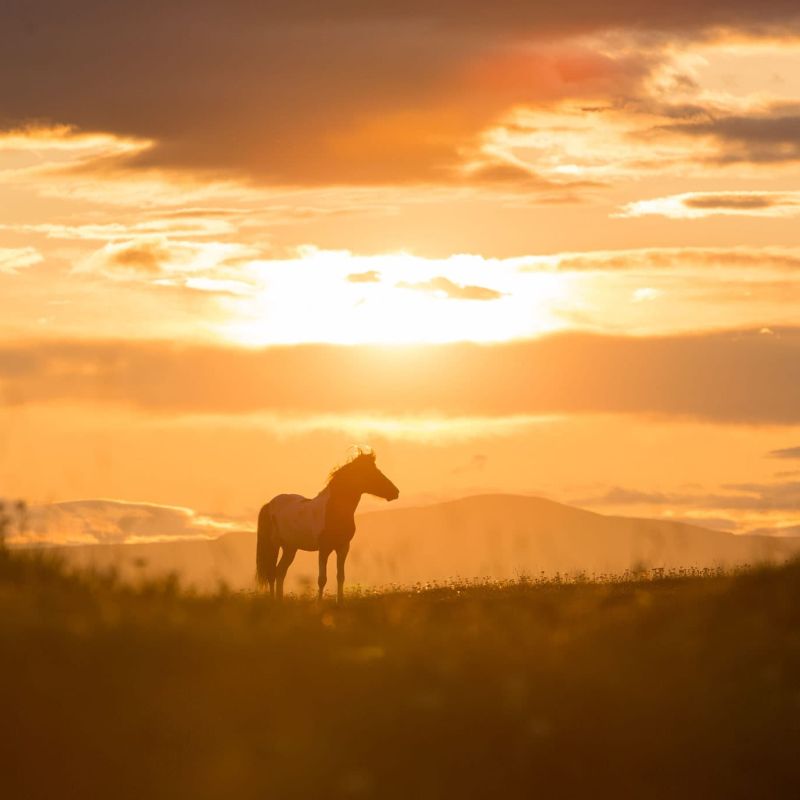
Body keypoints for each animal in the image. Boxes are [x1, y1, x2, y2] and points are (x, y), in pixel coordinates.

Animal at [256, 450, 399, 602]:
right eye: (371, 472)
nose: (396, 492)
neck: (333, 511)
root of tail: (269, 504)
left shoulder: (343, 547)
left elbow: (340, 577)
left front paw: (340, 602)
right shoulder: (324, 549)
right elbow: (322, 579)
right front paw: (319, 603)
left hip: (290, 548)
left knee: (280, 572)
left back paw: (280, 600)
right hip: (274, 545)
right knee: (271, 573)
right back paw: (273, 601)